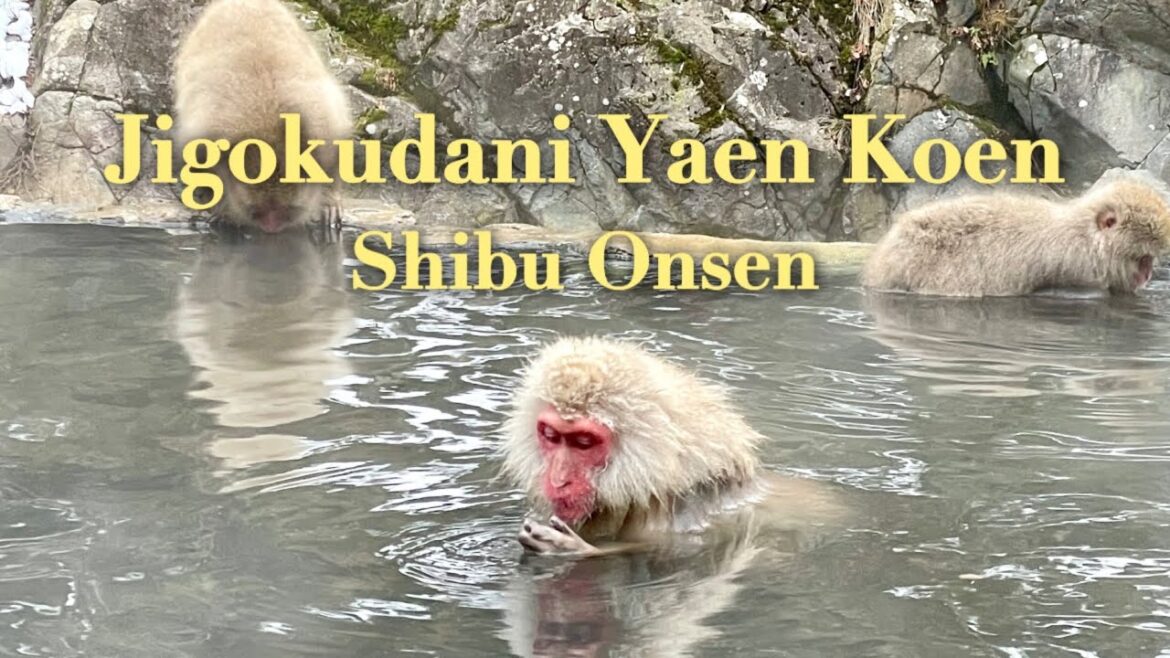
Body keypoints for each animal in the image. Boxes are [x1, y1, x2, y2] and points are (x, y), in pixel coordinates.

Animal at [173, 0, 352, 234]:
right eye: (258, 211)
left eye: (286, 211)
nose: (271, 228)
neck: (270, 129)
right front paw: (222, 208)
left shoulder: (327, 127)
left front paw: (329, 202)